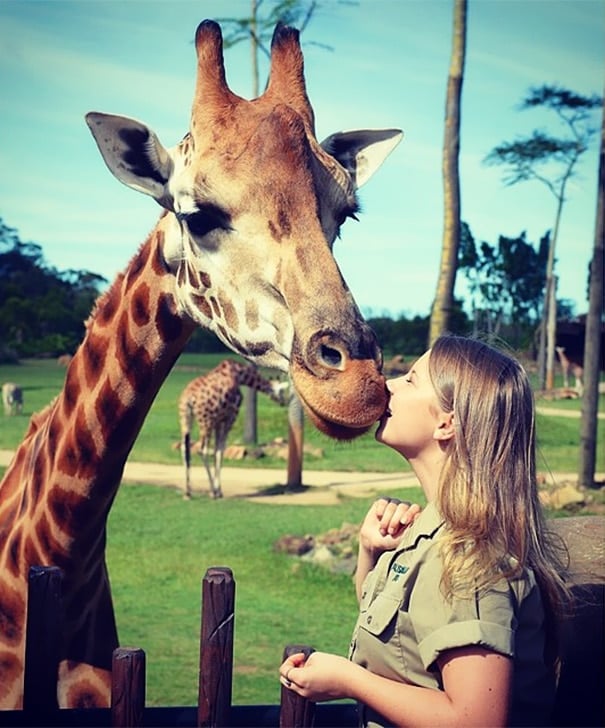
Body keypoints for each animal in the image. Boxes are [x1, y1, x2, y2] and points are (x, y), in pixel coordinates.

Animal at [177, 360, 288, 500]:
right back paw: (211, 492)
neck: (240, 376)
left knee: (184, 448)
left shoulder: (218, 420)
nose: (284, 402)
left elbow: (217, 451)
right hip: (206, 422)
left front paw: (218, 490)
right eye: (281, 391)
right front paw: (218, 491)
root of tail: (188, 398)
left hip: (185, 419)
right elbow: (220, 451)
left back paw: (187, 492)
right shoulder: (230, 417)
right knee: (202, 450)